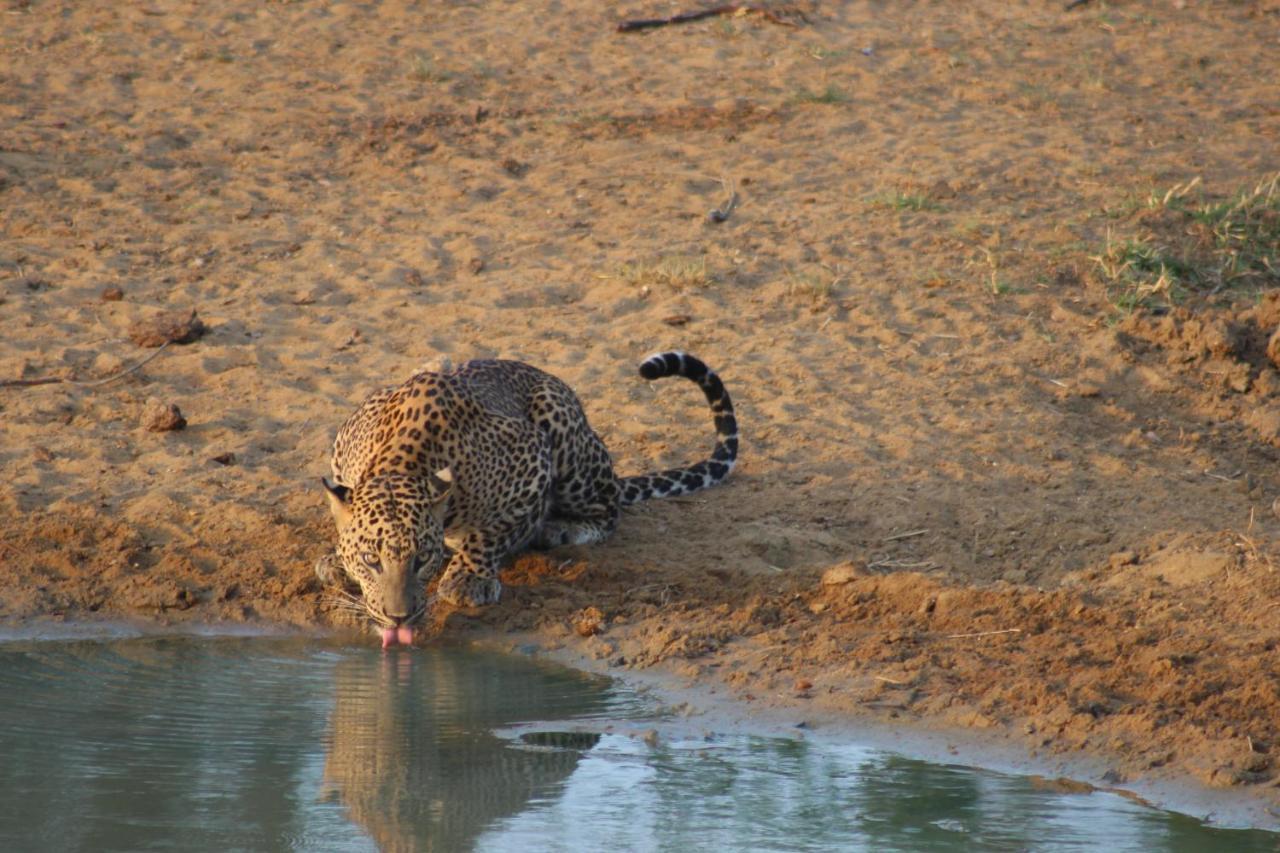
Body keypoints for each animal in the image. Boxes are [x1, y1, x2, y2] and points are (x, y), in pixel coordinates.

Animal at [314, 350, 742, 645]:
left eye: (421, 560)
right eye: (371, 560)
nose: (399, 617)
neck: (401, 460)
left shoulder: (532, 461)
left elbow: (490, 533)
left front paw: (468, 579)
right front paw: (335, 559)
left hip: (563, 435)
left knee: (608, 507)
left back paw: (561, 530)